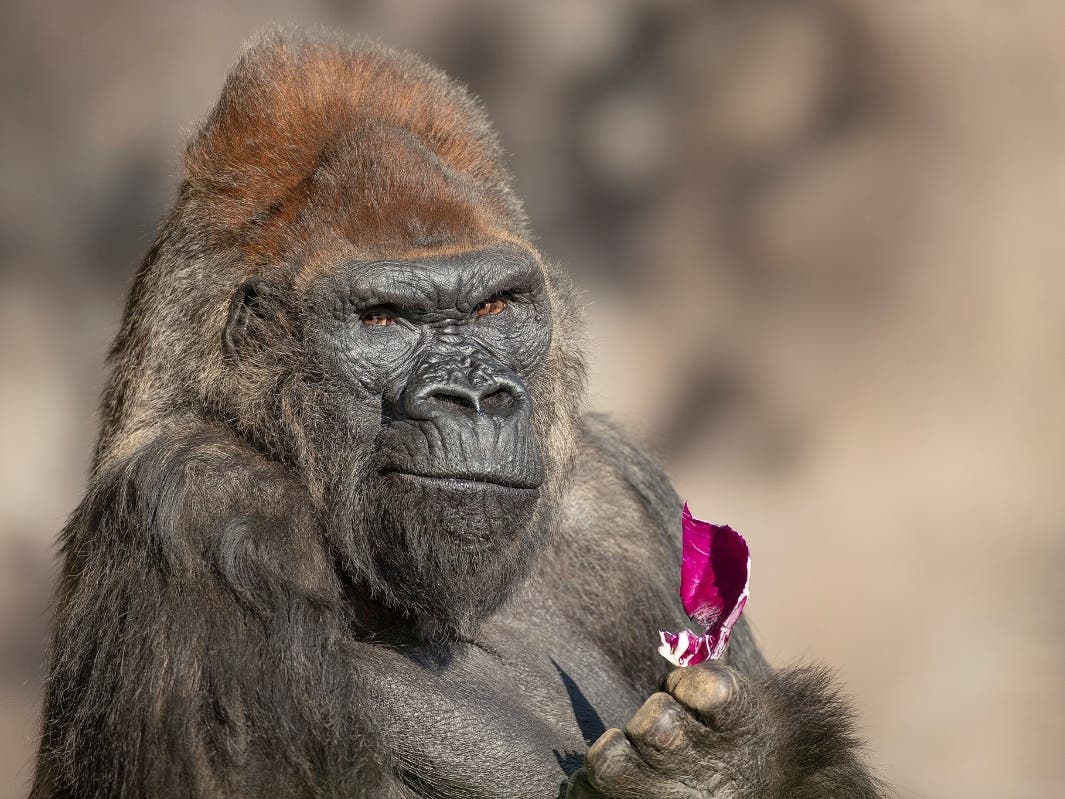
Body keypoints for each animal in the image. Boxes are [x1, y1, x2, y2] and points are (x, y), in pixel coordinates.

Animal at [31, 28, 888, 799]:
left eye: (494, 306)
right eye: (383, 319)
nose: (476, 396)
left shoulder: (622, 493)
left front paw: (735, 766)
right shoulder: (201, 501)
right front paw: (704, 776)